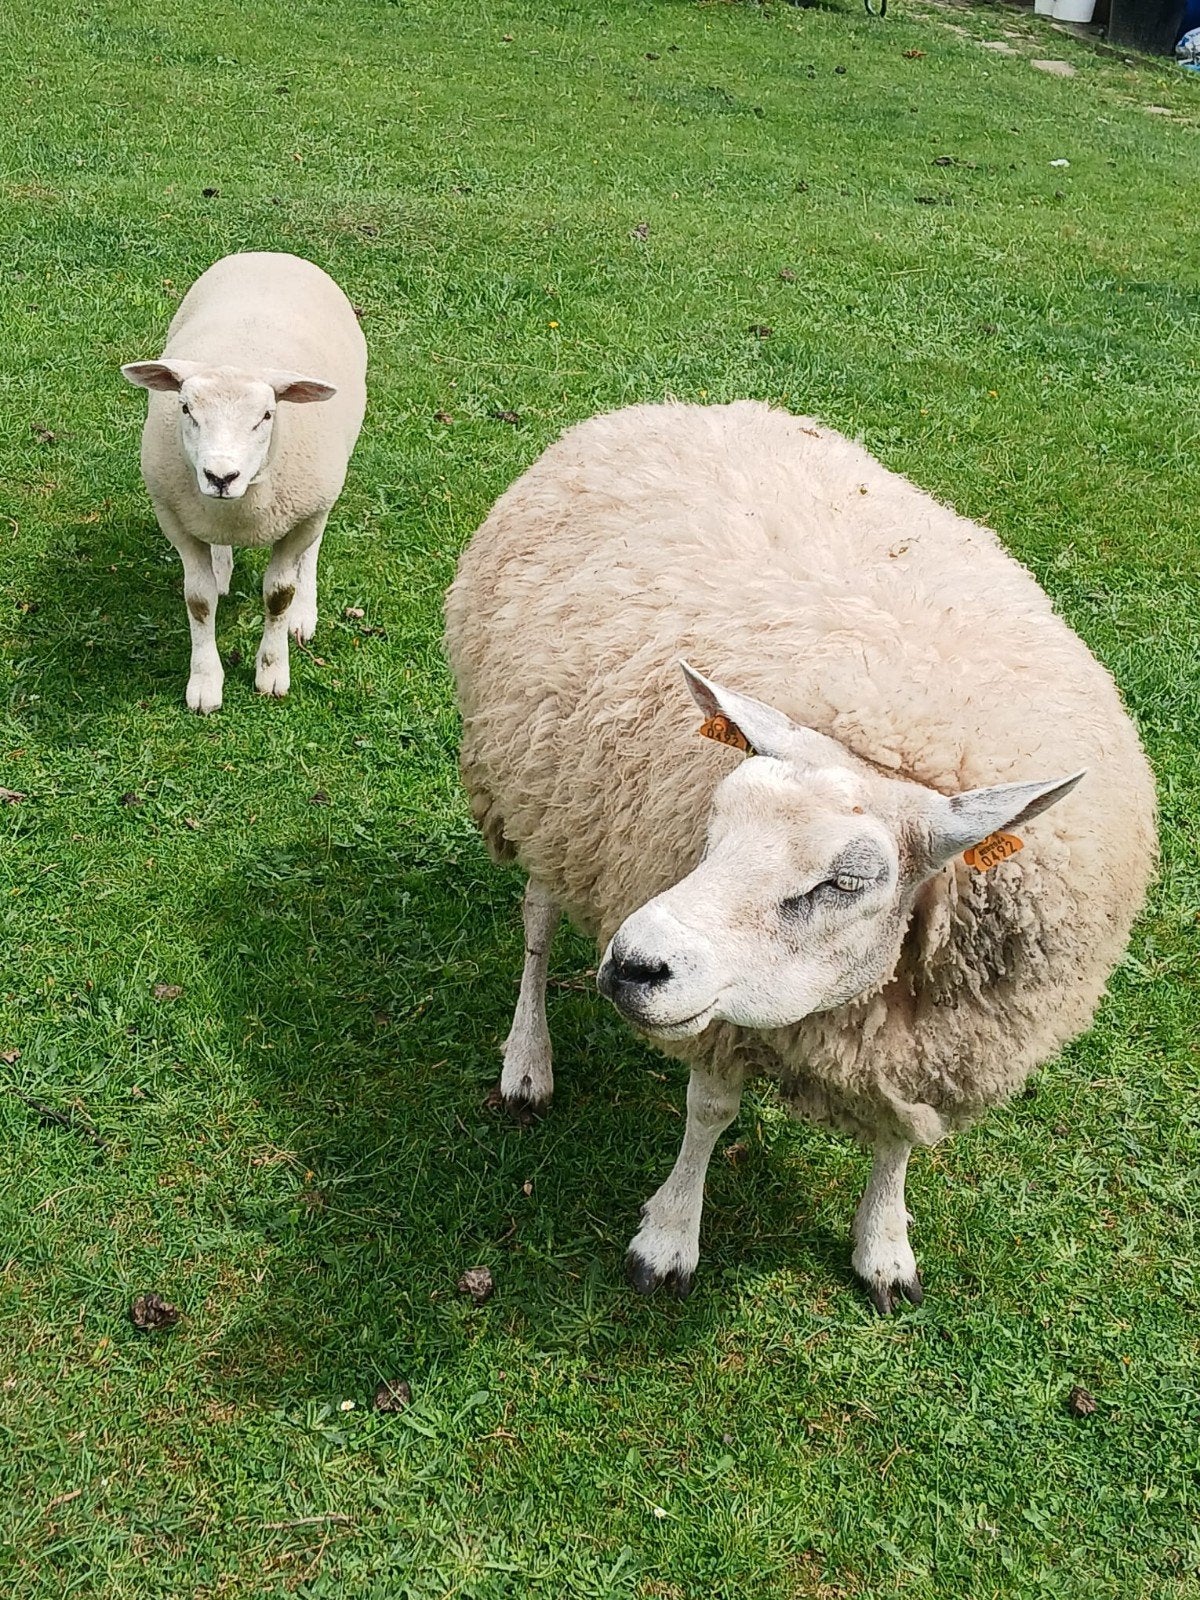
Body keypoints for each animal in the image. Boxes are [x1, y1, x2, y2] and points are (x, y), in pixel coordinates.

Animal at [122, 251, 367, 713]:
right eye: (186, 408)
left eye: (267, 415)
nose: (221, 476)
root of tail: (274, 254)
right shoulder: (175, 519)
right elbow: (198, 600)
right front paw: (205, 682)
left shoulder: (300, 518)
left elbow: (279, 595)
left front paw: (272, 671)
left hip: (322, 494)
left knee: (313, 547)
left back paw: (304, 613)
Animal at [445, 400, 1156, 1312]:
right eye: (714, 827)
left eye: (847, 881)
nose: (632, 965)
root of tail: (668, 408)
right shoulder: (719, 1020)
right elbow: (708, 1113)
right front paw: (668, 1239)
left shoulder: (933, 1045)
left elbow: (898, 1138)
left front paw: (884, 1246)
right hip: (533, 785)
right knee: (536, 923)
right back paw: (527, 1061)